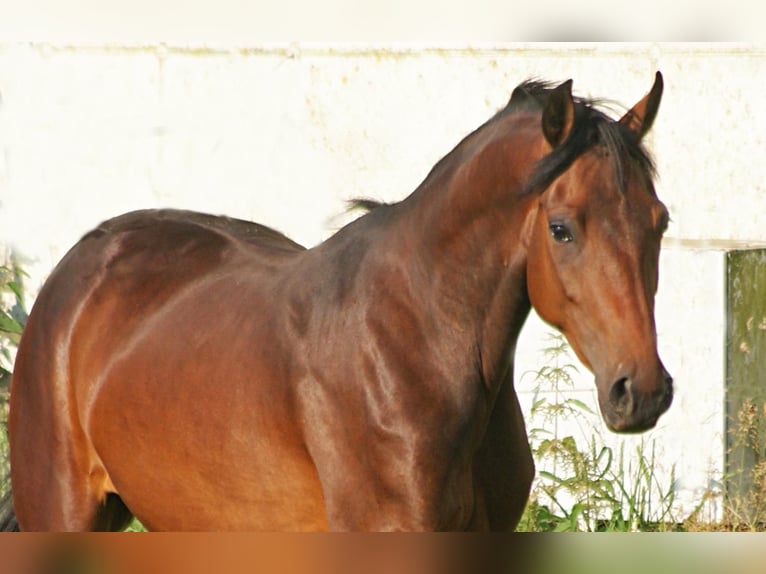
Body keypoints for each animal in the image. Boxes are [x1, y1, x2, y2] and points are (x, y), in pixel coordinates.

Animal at [0, 73, 672, 536]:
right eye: (561, 229)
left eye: (659, 221)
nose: (640, 391)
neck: (413, 344)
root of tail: (80, 268)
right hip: (64, 513)